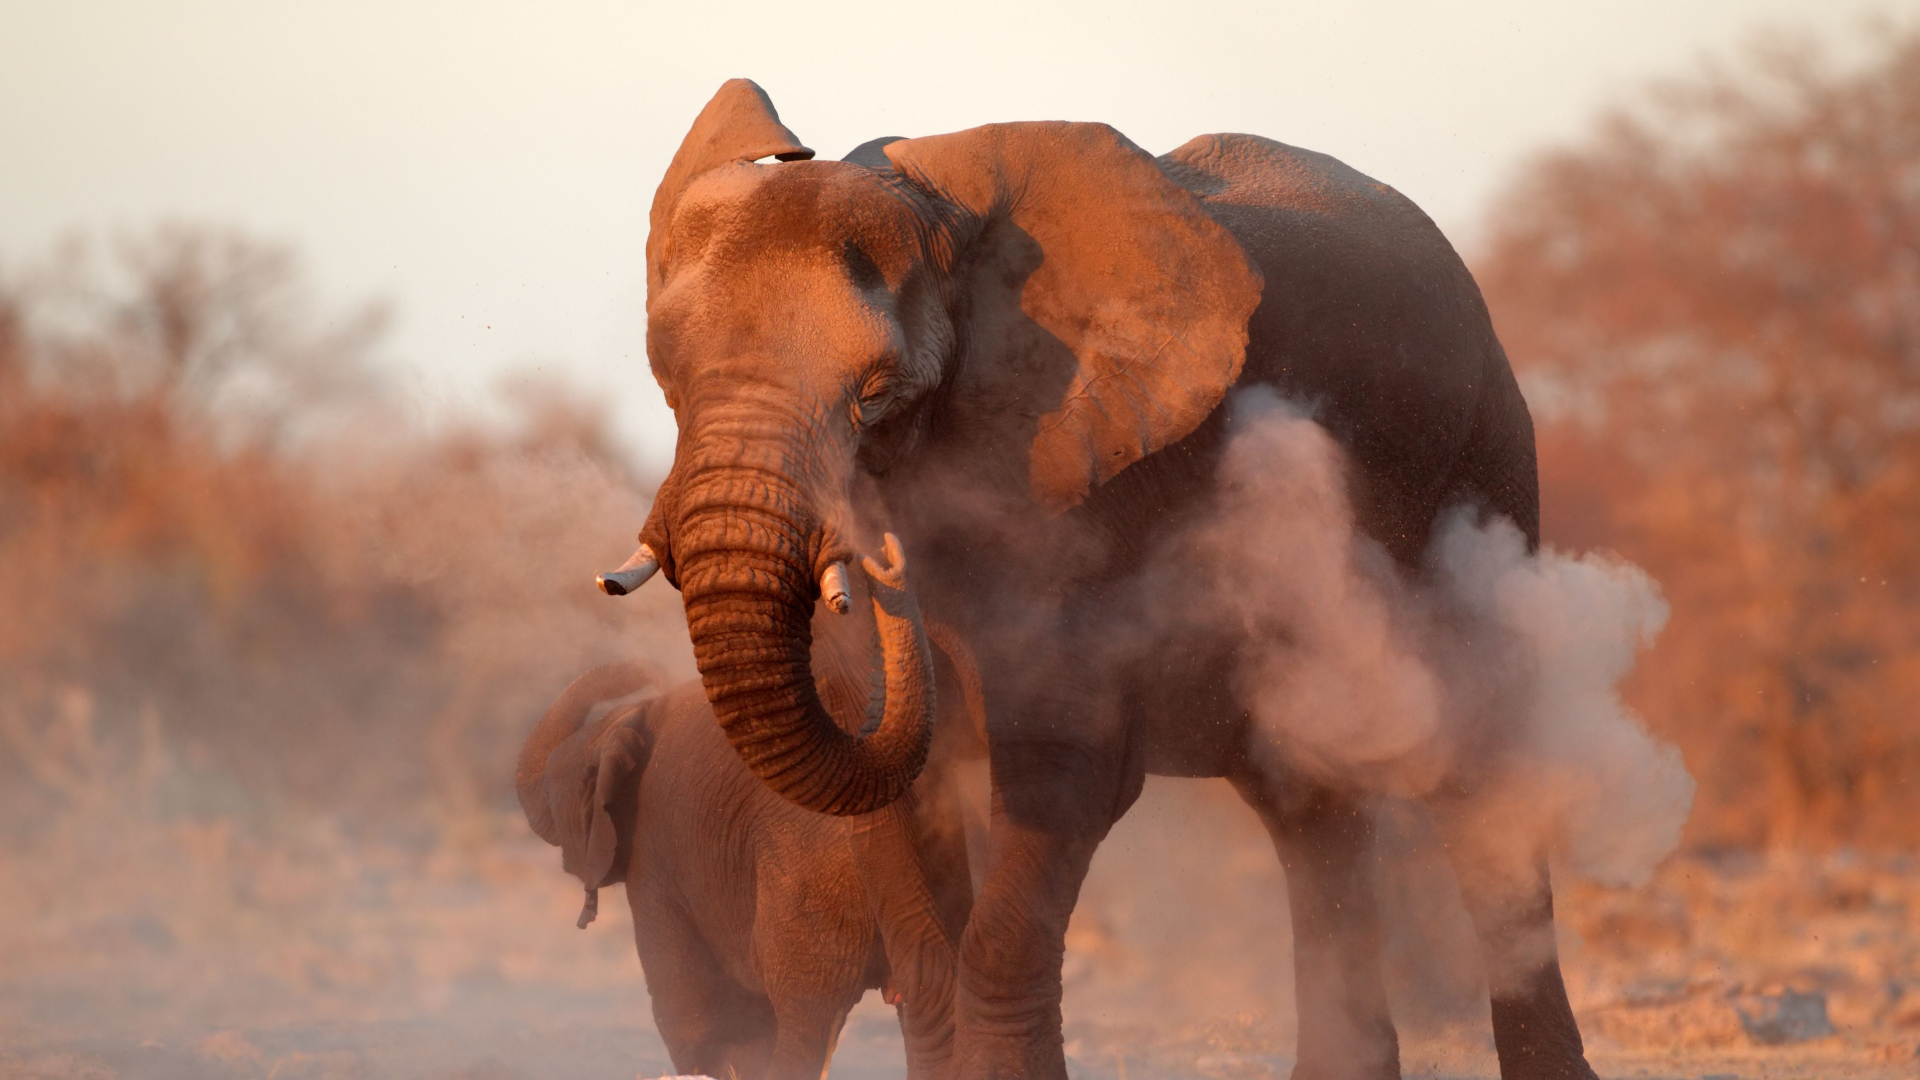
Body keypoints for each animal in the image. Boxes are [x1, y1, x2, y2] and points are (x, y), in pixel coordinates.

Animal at [622, 77, 1597, 1076]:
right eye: (668, 377)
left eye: (878, 395)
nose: (883, 552)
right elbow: (907, 854)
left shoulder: (1089, 485)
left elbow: (1061, 774)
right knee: (1305, 804)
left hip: (1482, 466)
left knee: (1480, 777)